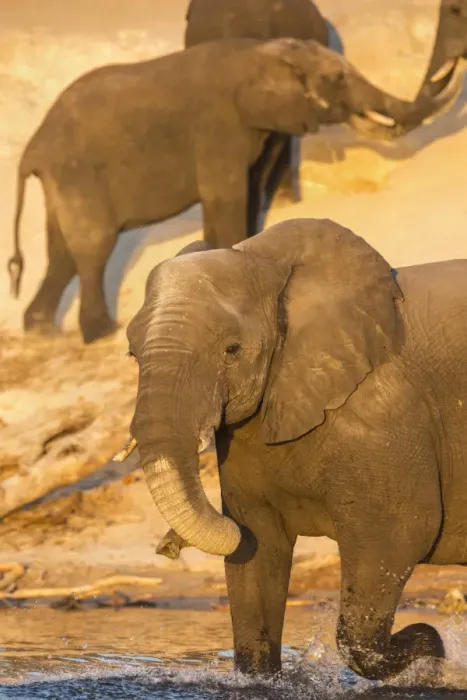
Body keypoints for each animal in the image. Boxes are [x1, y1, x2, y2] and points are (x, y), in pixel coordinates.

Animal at [7, 37, 459, 344]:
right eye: (337, 79)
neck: (257, 53)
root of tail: (32, 149)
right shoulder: (218, 125)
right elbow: (226, 196)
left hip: (65, 180)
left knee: (62, 254)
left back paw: (42, 331)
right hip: (78, 174)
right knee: (93, 248)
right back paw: (101, 332)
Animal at [121, 216, 467, 681]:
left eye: (232, 350)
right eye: (132, 353)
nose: (167, 546)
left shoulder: (383, 414)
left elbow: (401, 532)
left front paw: (431, 651)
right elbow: (258, 545)